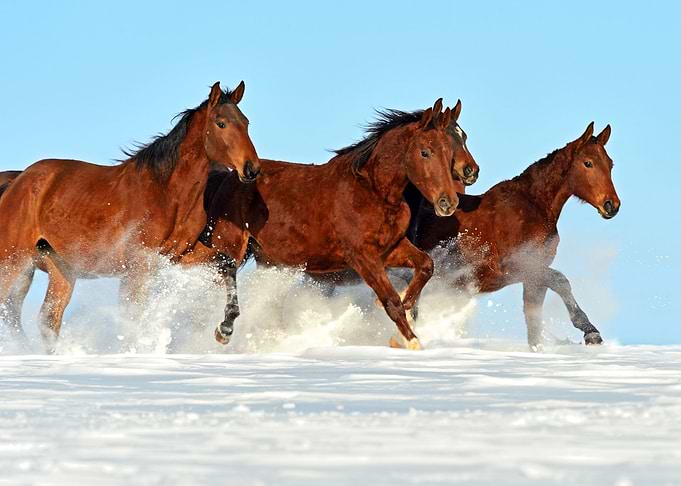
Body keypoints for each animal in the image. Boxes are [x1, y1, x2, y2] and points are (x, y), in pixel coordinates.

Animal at [0, 81, 261, 351]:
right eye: (221, 123)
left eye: (246, 122)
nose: (251, 169)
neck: (166, 194)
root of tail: (15, 182)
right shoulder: (138, 265)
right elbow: (133, 315)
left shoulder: (180, 255)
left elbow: (227, 264)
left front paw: (225, 329)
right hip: (13, 260)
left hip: (60, 270)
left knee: (47, 319)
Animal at [188, 99, 460, 350]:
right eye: (425, 152)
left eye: (449, 153)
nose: (448, 202)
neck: (373, 192)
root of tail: (228, 178)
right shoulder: (362, 256)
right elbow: (390, 301)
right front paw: (411, 341)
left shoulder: (390, 248)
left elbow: (426, 266)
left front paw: (407, 306)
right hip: (231, 244)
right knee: (225, 273)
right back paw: (223, 330)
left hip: (267, 260)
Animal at [409, 122, 620, 349]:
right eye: (588, 163)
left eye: (610, 164)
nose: (611, 205)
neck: (533, 208)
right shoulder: (515, 267)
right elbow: (561, 281)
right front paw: (590, 332)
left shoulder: (534, 277)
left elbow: (533, 323)